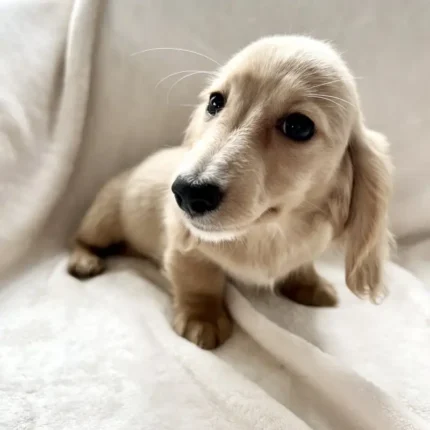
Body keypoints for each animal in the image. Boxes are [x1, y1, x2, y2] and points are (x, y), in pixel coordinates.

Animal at [68, 36, 394, 350]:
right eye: (215, 102)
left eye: (299, 126)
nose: (187, 193)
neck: (270, 232)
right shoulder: (186, 249)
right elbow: (200, 280)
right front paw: (203, 319)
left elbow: (300, 265)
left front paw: (310, 284)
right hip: (103, 218)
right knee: (82, 239)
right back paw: (84, 261)